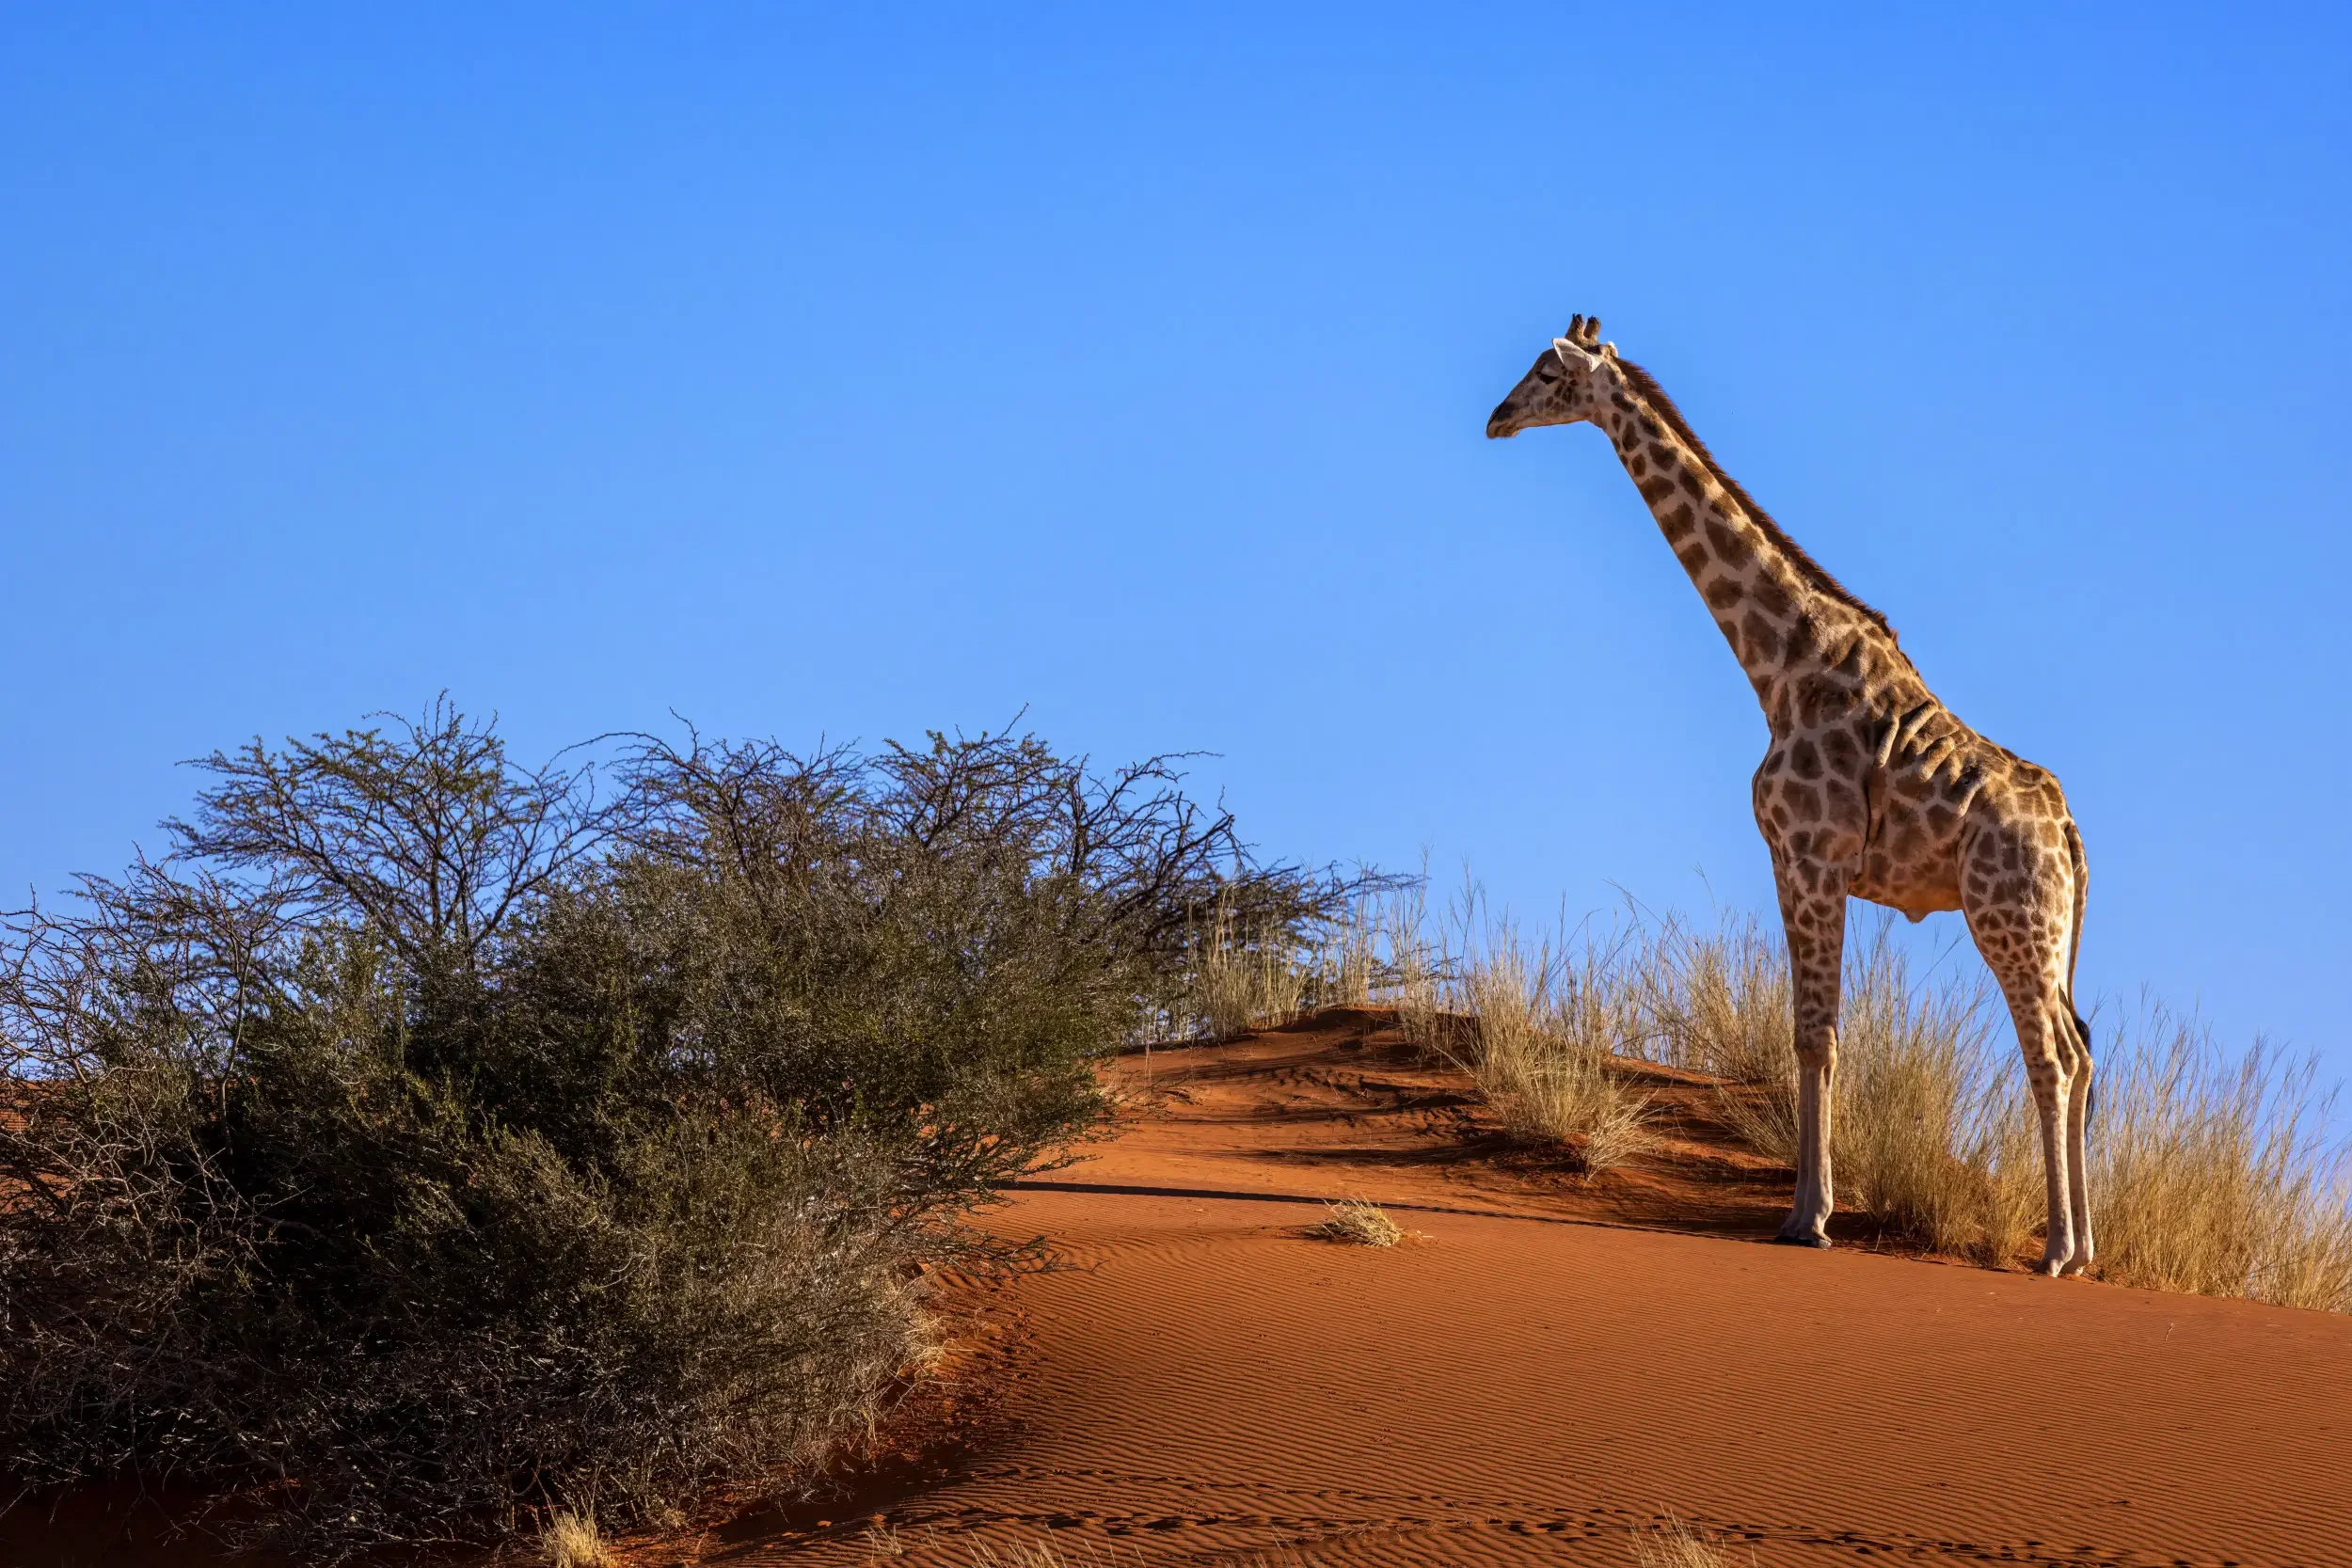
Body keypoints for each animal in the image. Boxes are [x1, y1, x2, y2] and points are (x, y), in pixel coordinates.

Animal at [1487, 316, 2095, 1275]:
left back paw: (2059, 1250)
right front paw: (1807, 1210)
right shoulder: (1795, 861)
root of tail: (2069, 831)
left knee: (2053, 1054)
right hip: (2054, 928)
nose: (1497, 418)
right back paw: (2086, 1243)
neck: (1779, 664)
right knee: (2084, 1047)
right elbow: (1810, 1031)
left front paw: (1808, 1217)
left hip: (2008, 916)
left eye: (1548, 371)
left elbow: (1816, 1033)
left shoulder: (1811, 855)